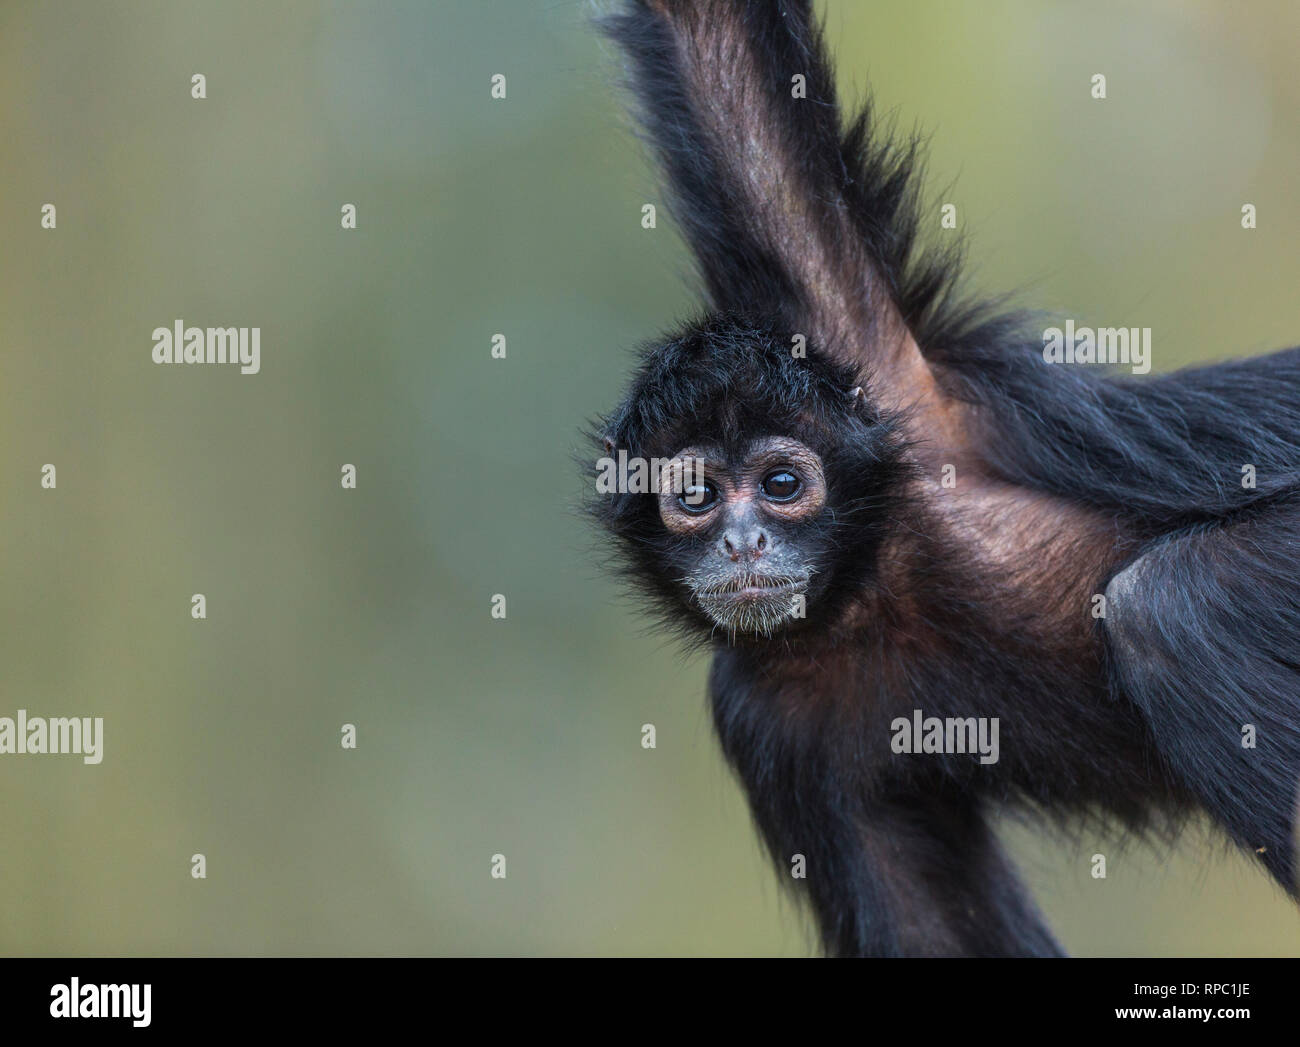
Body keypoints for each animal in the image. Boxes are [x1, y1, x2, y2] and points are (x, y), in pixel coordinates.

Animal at [588, 0, 1300, 957]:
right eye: (697, 496)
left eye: (782, 484)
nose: (742, 541)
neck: (873, 593)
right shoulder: (765, 714)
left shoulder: (886, 373)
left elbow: (715, 41)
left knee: (1179, 606)